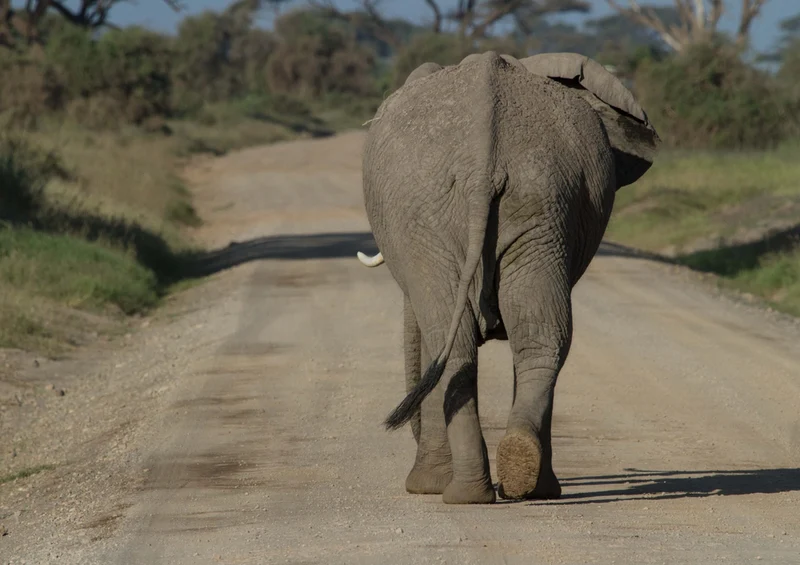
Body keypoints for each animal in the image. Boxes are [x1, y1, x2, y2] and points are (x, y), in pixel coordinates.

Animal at [357, 51, 660, 504]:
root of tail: (483, 159)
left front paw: (424, 487)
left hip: (439, 217)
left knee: (455, 342)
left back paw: (463, 493)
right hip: (540, 202)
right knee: (539, 336)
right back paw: (524, 479)